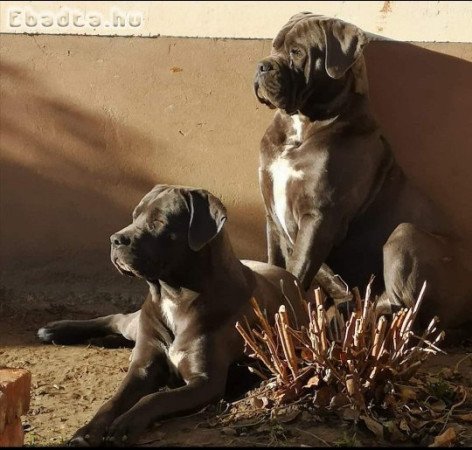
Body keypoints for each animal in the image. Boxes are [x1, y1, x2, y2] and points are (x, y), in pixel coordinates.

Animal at [36, 184, 302, 446]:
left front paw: (124, 425)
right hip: (137, 323)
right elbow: (114, 400)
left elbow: (154, 399)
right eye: (135, 216)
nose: (115, 239)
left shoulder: (205, 382)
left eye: (159, 221)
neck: (174, 295)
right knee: (117, 318)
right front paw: (88, 431)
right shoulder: (143, 367)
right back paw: (55, 329)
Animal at [254, 12, 472, 334]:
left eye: (297, 52)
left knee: (407, 311)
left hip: (405, 235)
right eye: (274, 46)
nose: (262, 65)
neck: (303, 124)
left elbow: (297, 269)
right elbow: (276, 263)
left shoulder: (319, 217)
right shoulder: (273, 216)